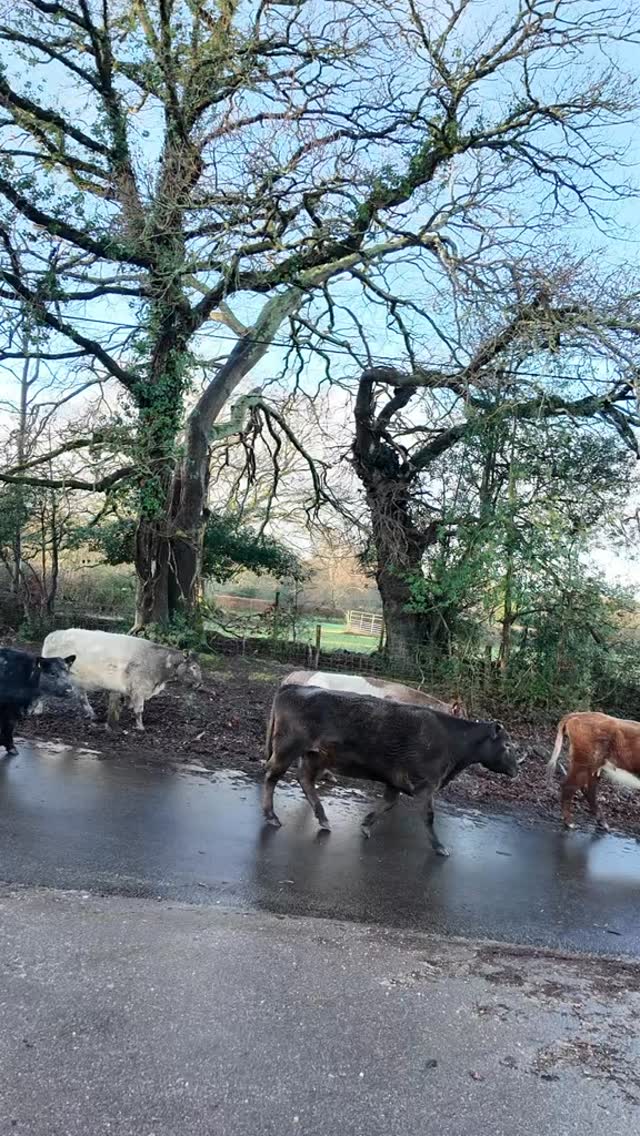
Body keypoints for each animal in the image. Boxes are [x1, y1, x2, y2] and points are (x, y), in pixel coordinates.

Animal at [41, 628, 202, 732]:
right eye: (194, 667)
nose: (200, 684)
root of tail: (53, 635)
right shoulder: (139, 689)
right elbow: (139, 710)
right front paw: (140, 727)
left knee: (81, 697)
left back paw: (92, 715)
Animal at [263, 684, 517, 855]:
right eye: (507, 745)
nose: (517, 768)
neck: (453, 742)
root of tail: (294, 687)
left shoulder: (395, 781)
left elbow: (388, 803)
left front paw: (366, 825)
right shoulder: (426, 785)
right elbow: (428, 816)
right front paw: (439, 846)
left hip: (314, 755)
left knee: (305, 780)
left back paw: (323, 819)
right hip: (287, 748)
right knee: (272, 776)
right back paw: (272, 816)